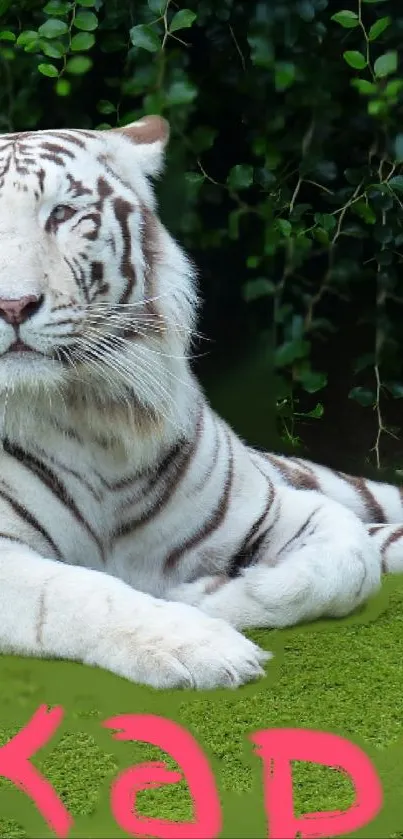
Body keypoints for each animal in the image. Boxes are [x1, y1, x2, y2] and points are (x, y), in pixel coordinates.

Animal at [0, 116, 402, 688]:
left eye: (61, 214)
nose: (12, 305)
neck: (95, 418)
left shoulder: (274, 507)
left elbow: (350, 561)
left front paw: (205, 595)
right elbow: (78, 591)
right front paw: (199, 645)